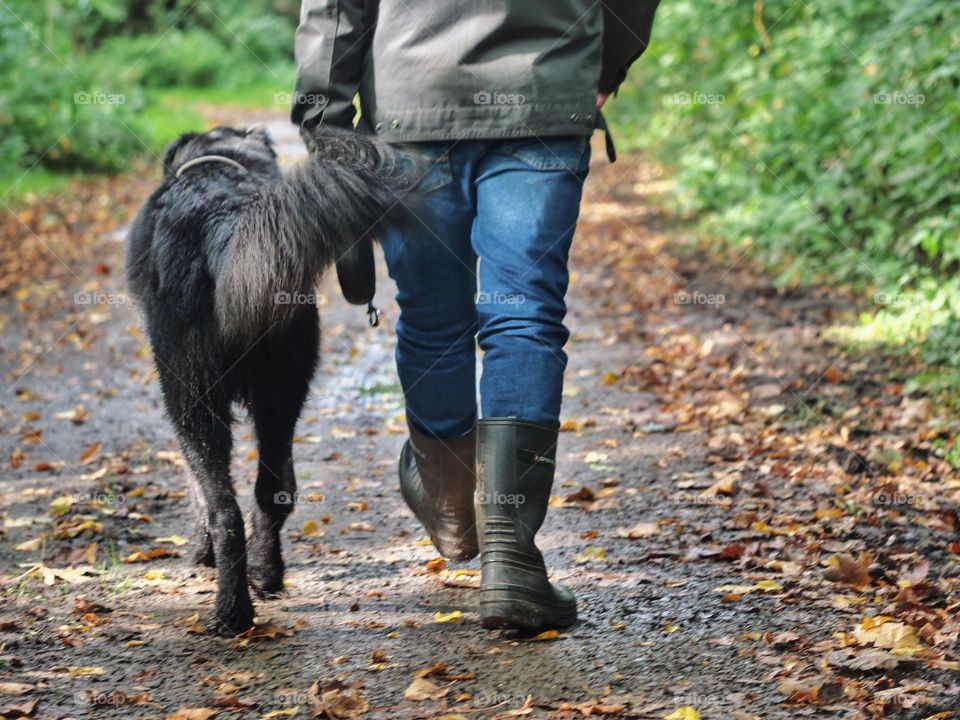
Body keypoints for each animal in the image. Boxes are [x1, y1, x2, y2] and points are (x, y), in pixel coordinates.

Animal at [126, 126, 404, 632]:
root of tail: (223, 221)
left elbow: (196, 490)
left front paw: (200, 550)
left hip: (190, 397)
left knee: (224, 508)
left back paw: (230, 610)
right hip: (284, 391)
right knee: (274, 492)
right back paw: (265, 573)